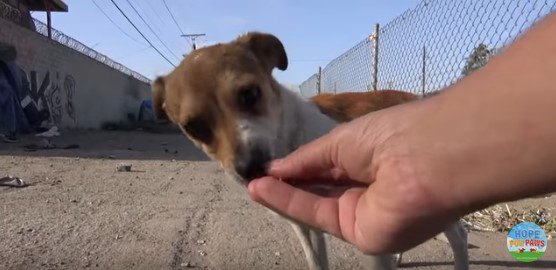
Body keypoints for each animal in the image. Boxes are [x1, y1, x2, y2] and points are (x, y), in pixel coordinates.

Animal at [150, 32, 466, 270]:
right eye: (194, 127)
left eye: (249, 94)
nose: (250, 168)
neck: (290, 139)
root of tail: (416, 97)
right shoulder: (305, 226)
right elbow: (316, 261)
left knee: (459, 236)